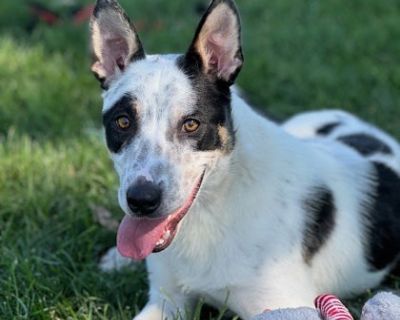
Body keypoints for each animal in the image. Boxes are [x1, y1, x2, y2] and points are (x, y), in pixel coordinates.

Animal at [89, 1, 400, 318]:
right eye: (123, 122)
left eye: (191, 124)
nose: (141, 200)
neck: (213, 208)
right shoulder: (167, 299)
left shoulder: (288, 304)